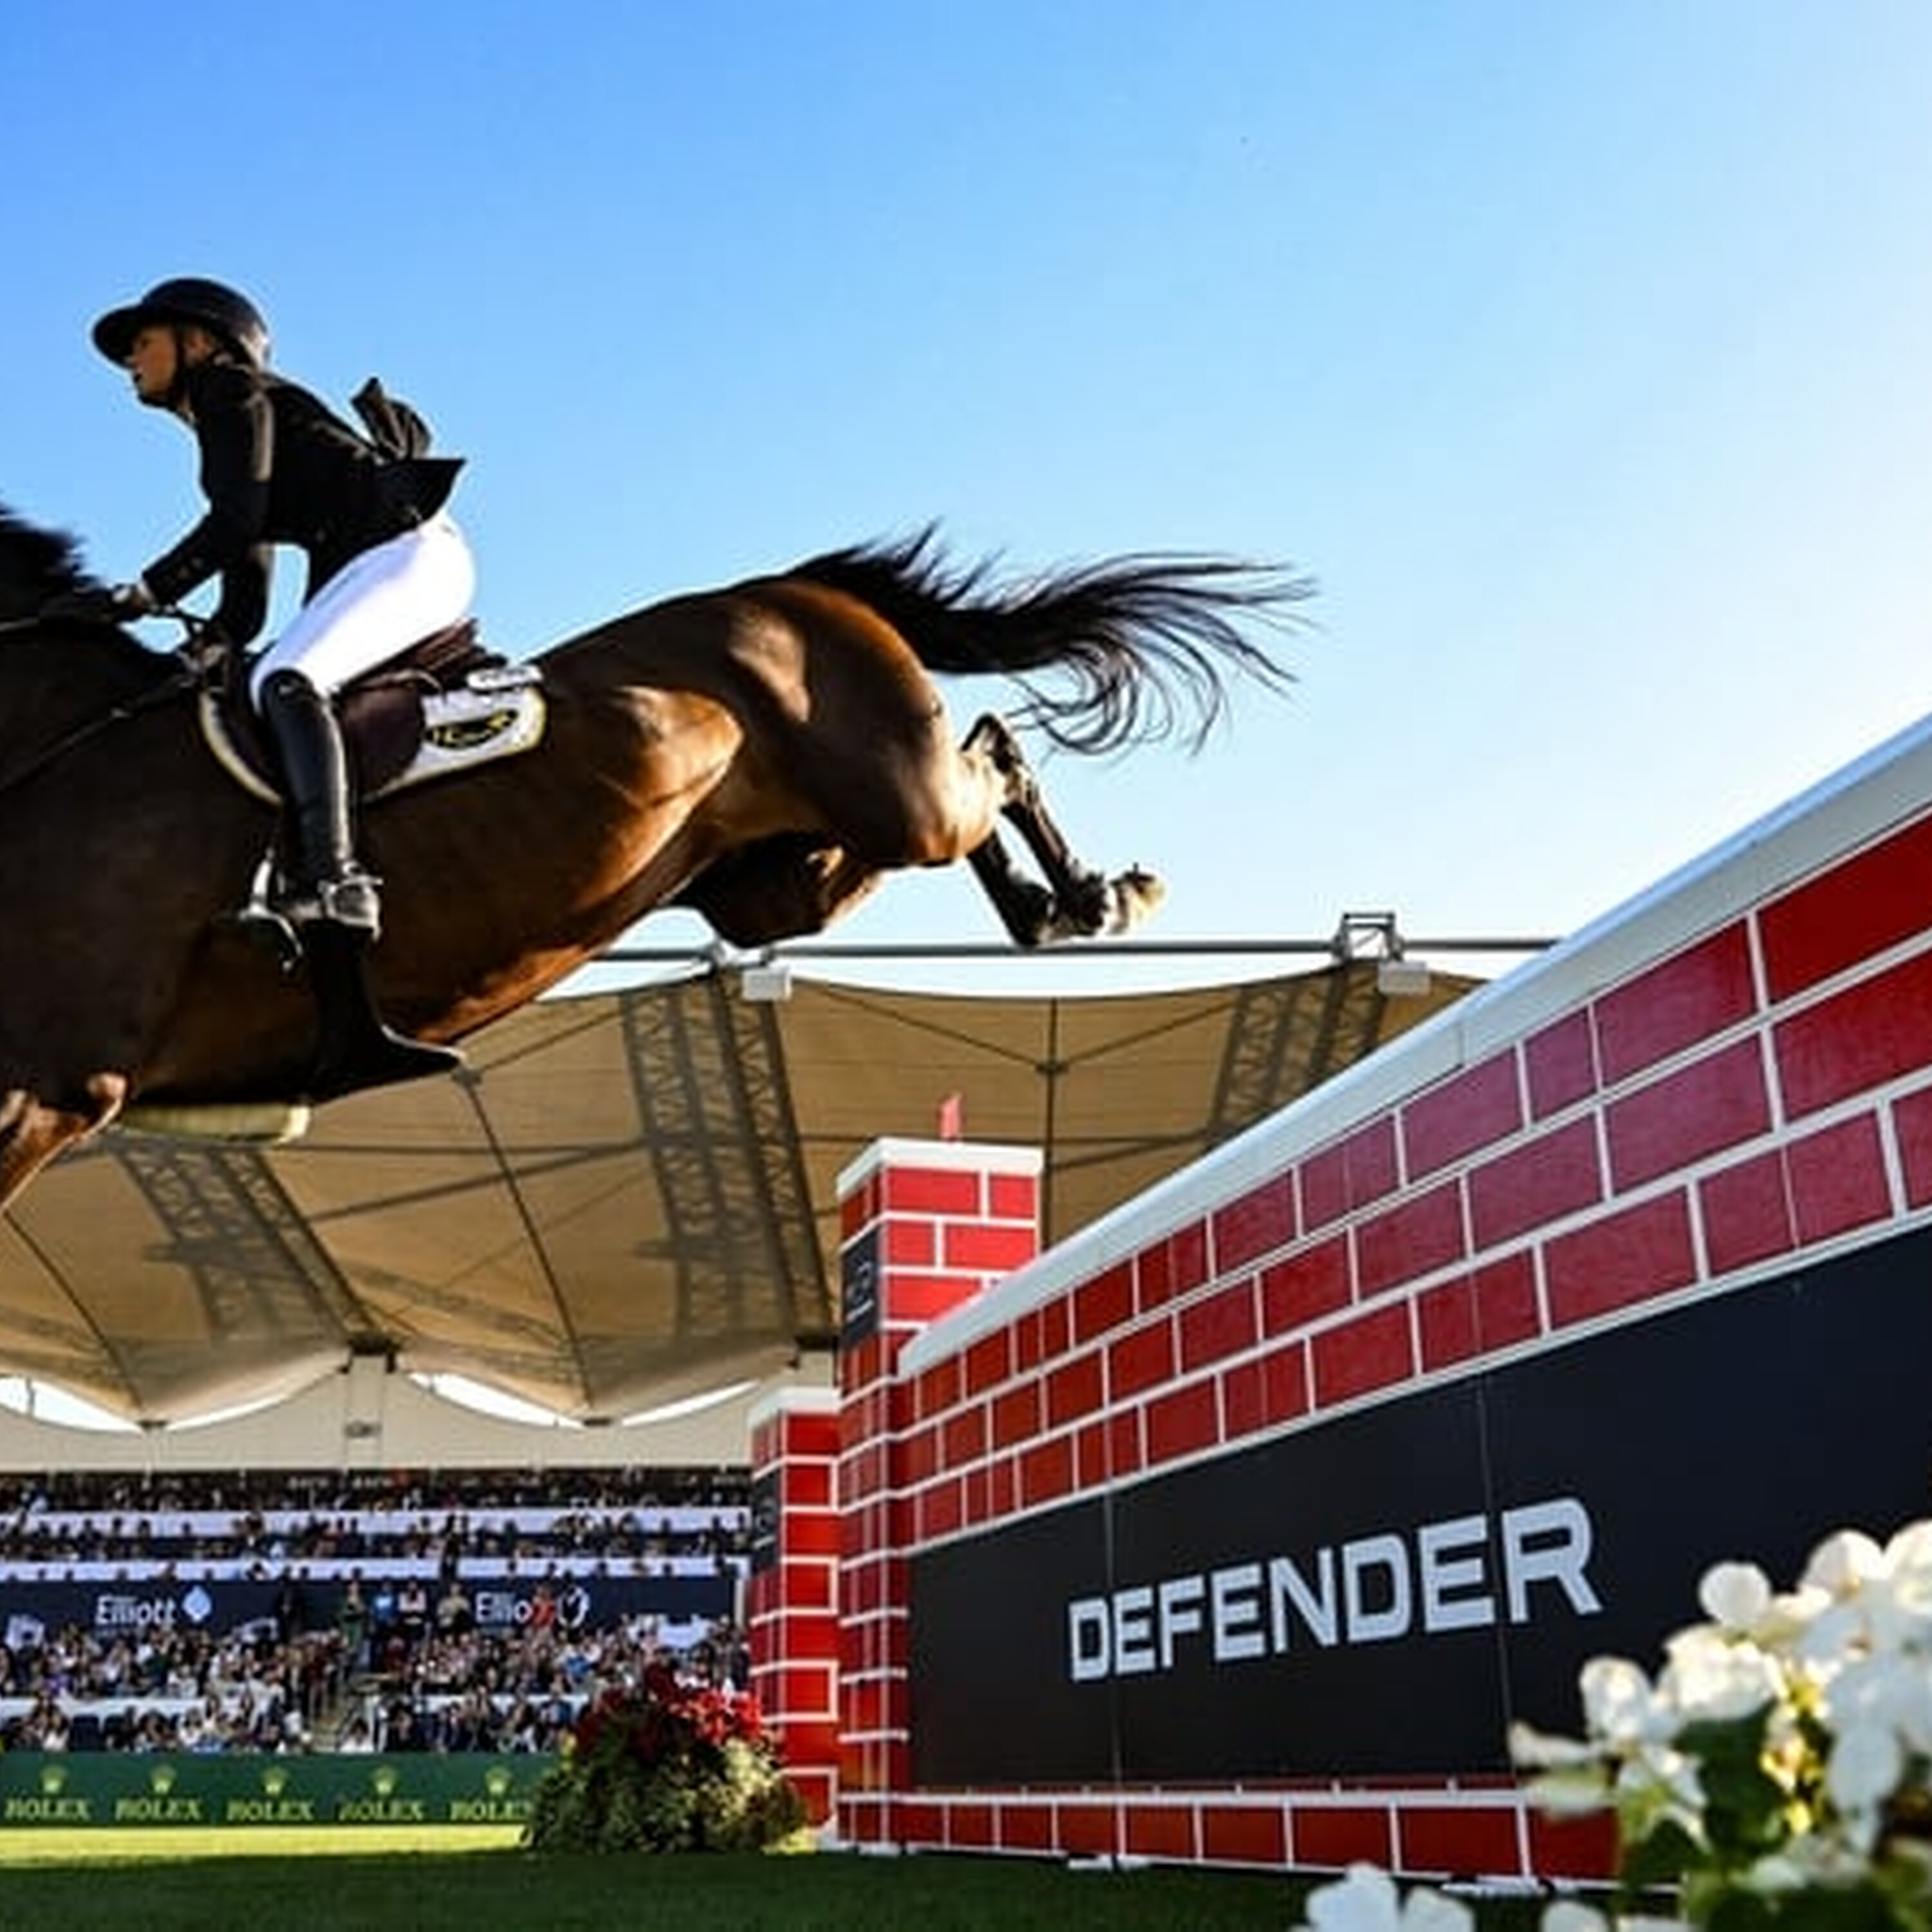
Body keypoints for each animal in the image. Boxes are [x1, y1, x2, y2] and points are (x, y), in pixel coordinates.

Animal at [0, 506, 1306, 1212]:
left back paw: (1093, 898)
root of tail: (794, 589)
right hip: (770, 879)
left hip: (902, 796)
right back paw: (1057, 908)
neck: (51, 744)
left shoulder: (48, 1088)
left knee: (991, 758)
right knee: (955, 781)